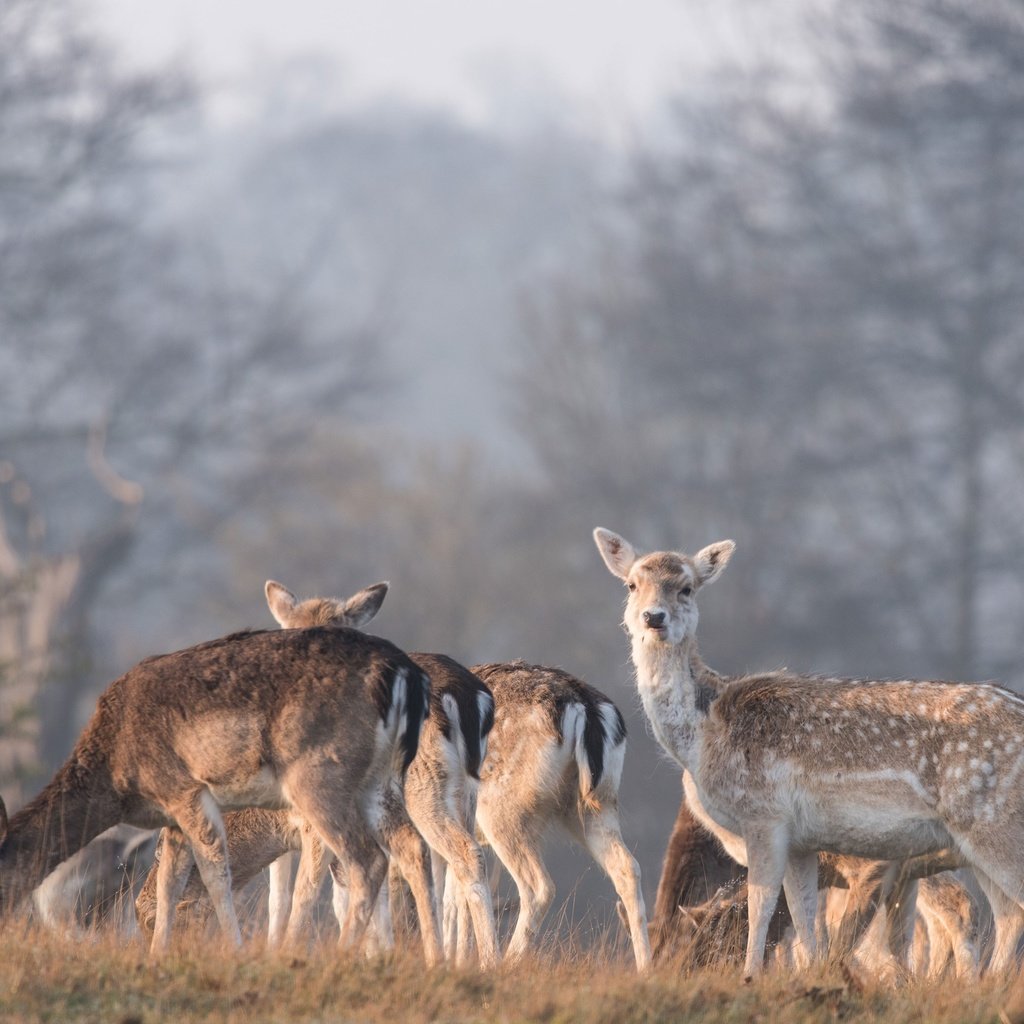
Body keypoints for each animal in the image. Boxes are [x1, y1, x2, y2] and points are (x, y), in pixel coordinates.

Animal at [0, 622, 430, 958]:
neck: (116, 776)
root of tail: (405, 674)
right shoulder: (171, 817)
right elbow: (170, 882)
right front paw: (157, 956)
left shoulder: (184, 791)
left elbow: (213, 872)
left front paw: (235, 949)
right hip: (381, 781)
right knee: (412, 847)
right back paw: (433, 958)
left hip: (321, 781)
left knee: (367, 860)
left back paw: (341, 956)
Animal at [593, 532, 1024, 978]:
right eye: (632, 584)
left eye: (687, 587)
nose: (653, 617)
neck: (705, 733)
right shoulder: (802, 841)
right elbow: (803, 917)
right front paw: (813, 974)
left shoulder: (764, 813)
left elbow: (762, 905)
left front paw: (750, 975)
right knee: (1007, 913)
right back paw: (990, 982)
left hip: (994, 823)